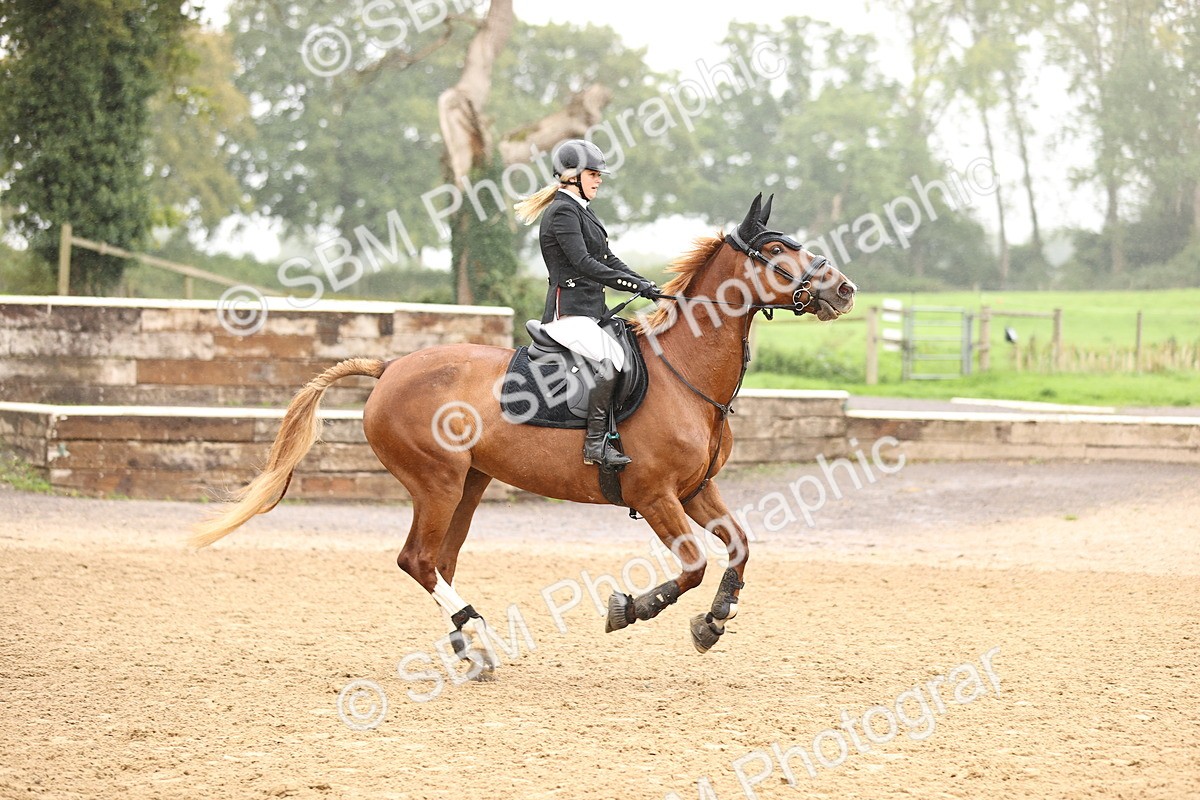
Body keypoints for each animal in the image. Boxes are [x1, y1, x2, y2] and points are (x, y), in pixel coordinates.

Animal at [192, 193, 857, 670]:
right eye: (779, 248)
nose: (844, 289)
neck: (684, 371)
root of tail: (390, 367)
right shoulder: (654, 495)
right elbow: (692, 565)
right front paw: (628, 609)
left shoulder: (697, 489)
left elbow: (739, 546)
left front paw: (714, 621)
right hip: (437, 482)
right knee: (417, 559)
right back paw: (479, 635)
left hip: (468, 484)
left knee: (440, 560)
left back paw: (469, 645)